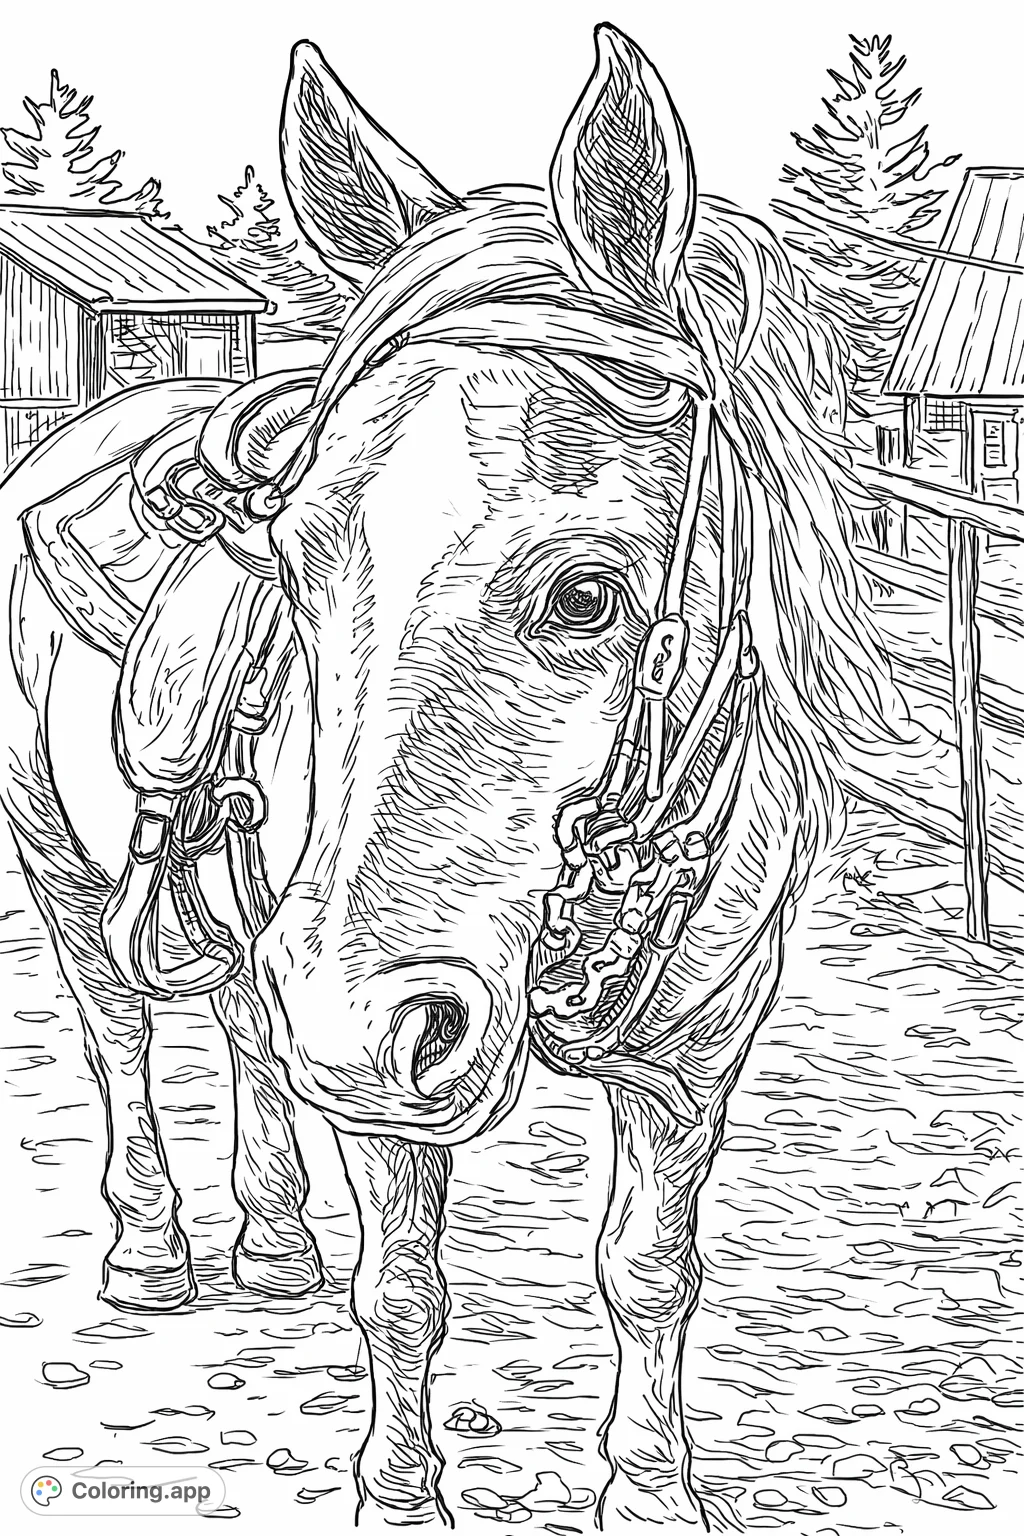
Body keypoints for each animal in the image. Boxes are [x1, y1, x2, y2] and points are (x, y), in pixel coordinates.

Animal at [1, 25, 903, 1529]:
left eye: (587, 594)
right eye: (290, 560)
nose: (361, 1028)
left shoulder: (697, 1055)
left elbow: (650, 1274)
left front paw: (649, 1492)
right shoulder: (374, 1060)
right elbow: (405, 1291)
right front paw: (402, 1493)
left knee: (243, 1024)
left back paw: (271, 1235)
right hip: (68, 864)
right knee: (120, 1032)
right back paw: (153, 1248)